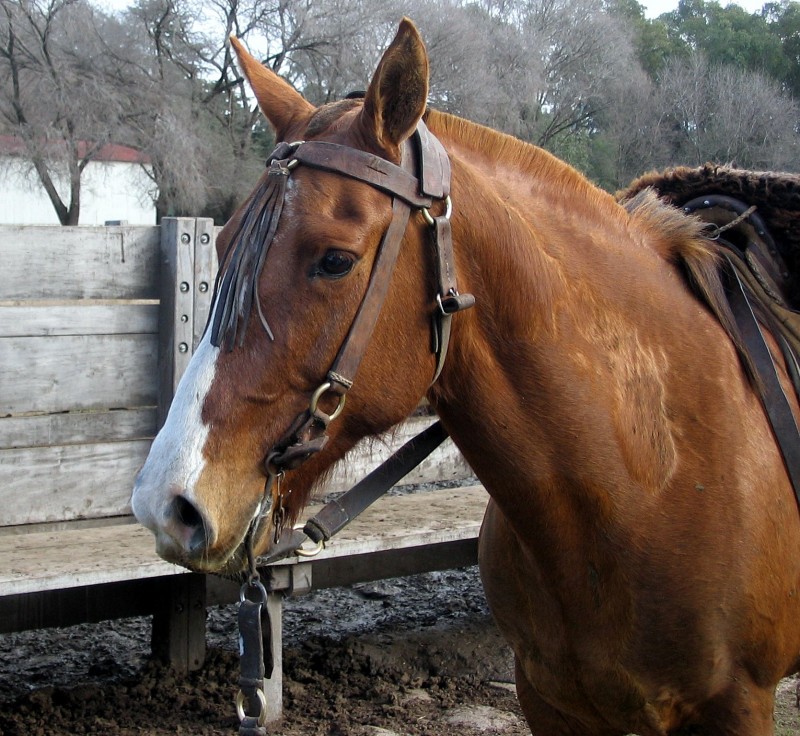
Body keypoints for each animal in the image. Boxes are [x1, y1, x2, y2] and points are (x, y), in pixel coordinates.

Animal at [131, 17, 800, 736]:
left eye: (335, 260)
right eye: (222, 244)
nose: (168, 504)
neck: (651, 475)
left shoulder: (737, 706)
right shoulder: (549, 699)